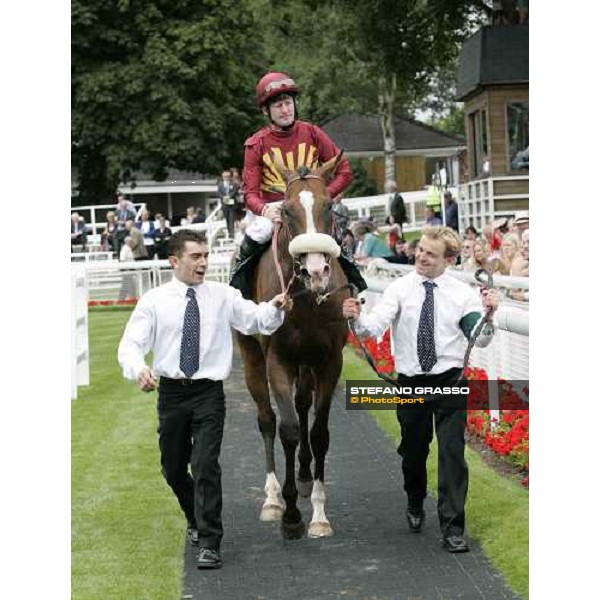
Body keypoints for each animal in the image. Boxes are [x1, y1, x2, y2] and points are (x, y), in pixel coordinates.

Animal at [237, 155, 352, 540]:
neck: (306, 298)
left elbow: (318, 433)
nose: (317, 269)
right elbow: (286, 428)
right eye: (286, 210)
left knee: (302, 405)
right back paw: (272, 498)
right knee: (267, 419)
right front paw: (289, 515)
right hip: (251, 358)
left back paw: (302, 476)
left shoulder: (329, 361)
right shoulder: (279, 359)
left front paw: (318, 514)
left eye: (328, 205)